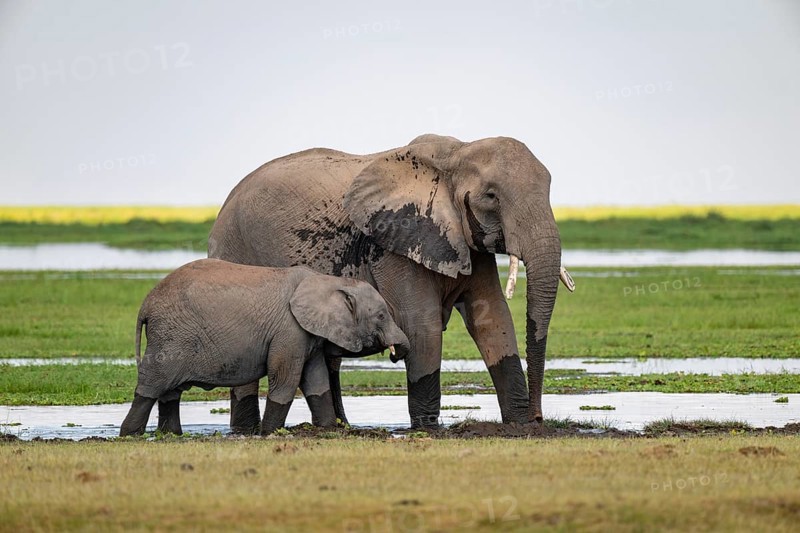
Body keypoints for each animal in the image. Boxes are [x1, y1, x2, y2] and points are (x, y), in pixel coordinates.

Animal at [119, 258, 410, 436]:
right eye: (381, 316)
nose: (398, 351)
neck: (329, 280)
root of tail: (146, 305)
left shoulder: (307, 334)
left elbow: (317, 382)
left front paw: (328, 431)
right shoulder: (289, 330)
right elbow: (285, 380)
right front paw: (268, 433)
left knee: (170, 391)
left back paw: (170, 435)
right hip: (172, 336)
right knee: (152, 385)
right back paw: (129, 435)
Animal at [209, 133, 570, 430]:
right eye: (491, 196)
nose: (538, 417)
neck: (456, 154)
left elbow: (492, 318)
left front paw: (518, 425)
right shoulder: (394, 243)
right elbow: (421, 324)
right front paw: (428, 430)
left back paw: (340, 427)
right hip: (235, 247)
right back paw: (245, 431)